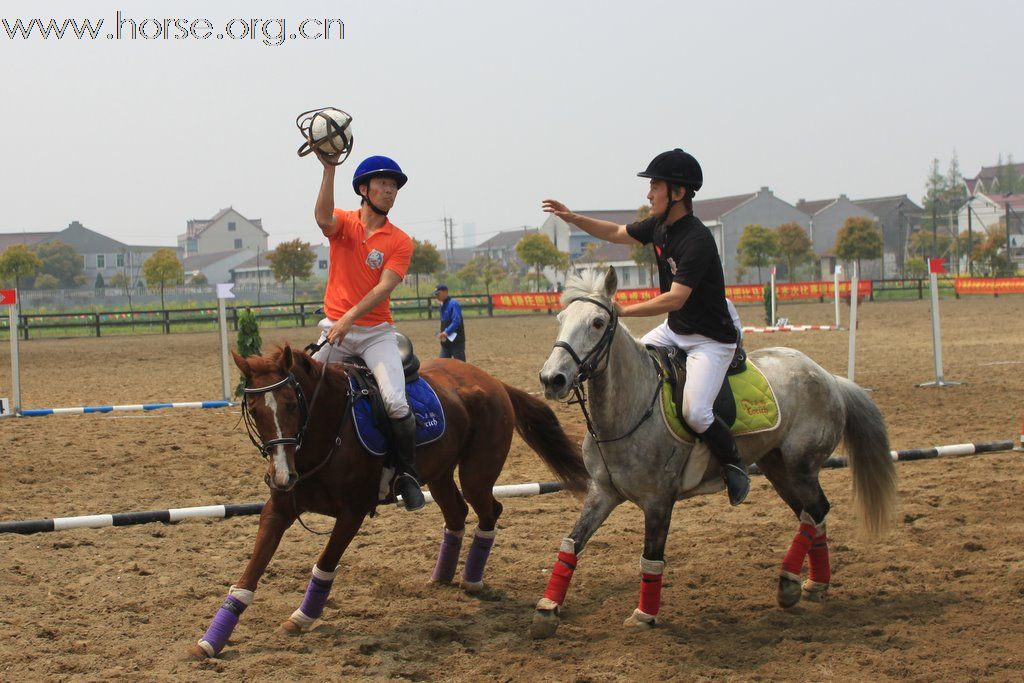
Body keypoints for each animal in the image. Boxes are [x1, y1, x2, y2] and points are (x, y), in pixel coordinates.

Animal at [189, 344, 589, 659]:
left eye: (290, 404)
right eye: (255, 410)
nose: (281, 476)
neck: (323, 434)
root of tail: (493, 381)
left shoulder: (351, 513)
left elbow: (324, 564)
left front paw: (303, 617)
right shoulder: (279, 509)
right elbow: (249, 574)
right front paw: (212, 640)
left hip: (477, 475)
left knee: (490, 510)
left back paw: (472, 580)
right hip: (439, 474)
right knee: (456, 513)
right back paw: (442, 576)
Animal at [528, 264, 897, 638]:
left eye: (598, 323)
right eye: (561, 319)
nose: (552, 379)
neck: (629, 411)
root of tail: (828, 376)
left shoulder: (659, 501)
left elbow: (651, 558)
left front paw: (645, 615)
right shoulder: (602, 493)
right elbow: (571, 543)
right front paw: (547, 609)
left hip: (801, 466)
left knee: (817, 509)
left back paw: (788, 583)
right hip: (779, 468)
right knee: (812, 514)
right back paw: (813, 585)